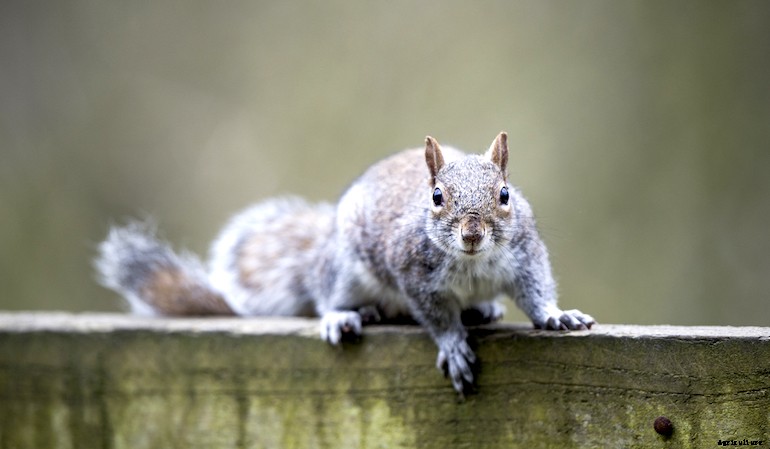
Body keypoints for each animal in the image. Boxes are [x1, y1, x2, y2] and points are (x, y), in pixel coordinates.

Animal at [95, 132, 595, 396]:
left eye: (505, 195)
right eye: (436, 197)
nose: (472, 233)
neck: (472, 263)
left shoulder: (525, 255)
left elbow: (535, 291)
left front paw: (556, 316)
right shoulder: (413, 275)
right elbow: (435, 316)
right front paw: (453, 345)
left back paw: (482, 309)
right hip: (344, 269)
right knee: (328, 296)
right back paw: (346, 315)